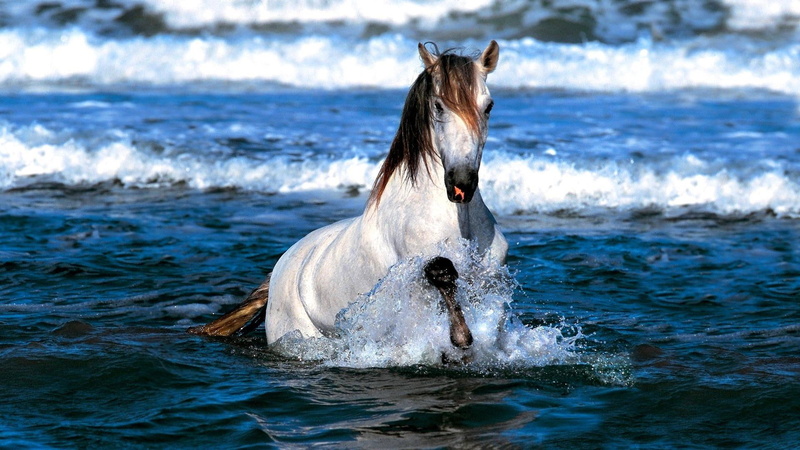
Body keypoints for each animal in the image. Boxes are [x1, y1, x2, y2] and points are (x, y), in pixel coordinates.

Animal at [189, 41, 507, 350]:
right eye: (439, 106)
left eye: (489, 106)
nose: (461, 183)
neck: (457, 222)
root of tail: (280, 268)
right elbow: (441, 272)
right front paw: (460, 337)